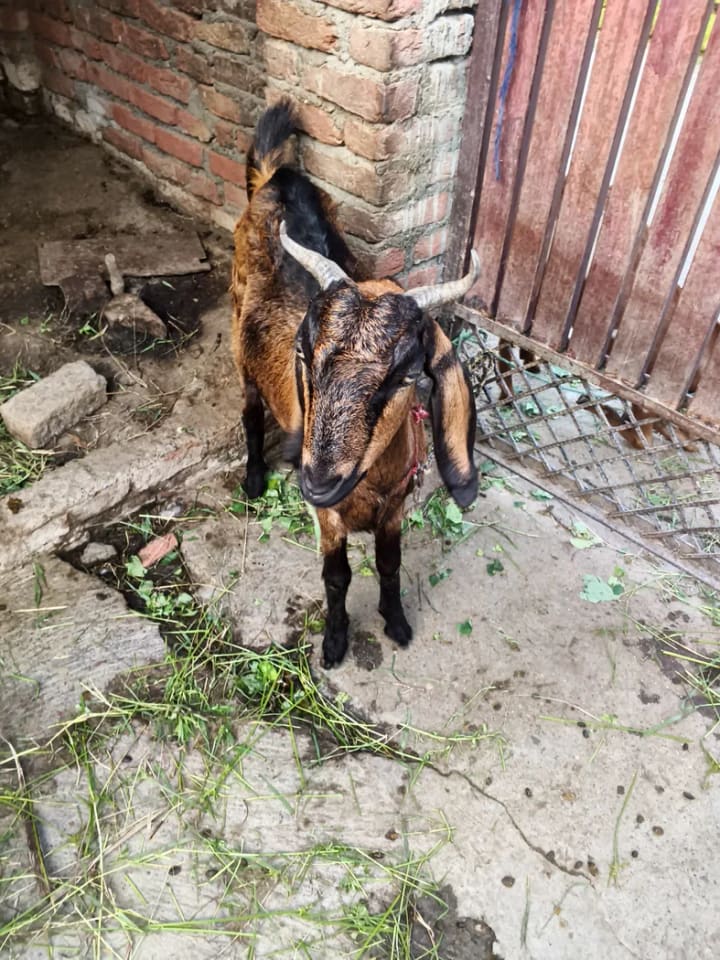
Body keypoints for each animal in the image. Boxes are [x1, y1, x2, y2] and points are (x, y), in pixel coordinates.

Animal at [231, 100, 480, 668]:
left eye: (405, 375)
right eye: (305, 355)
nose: (317, 482)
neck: (368, 489)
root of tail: (278, 177)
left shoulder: (395, 509)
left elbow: (389, 564)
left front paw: (397, 621)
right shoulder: (328, 519)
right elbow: (337, 576)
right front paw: (335, 640)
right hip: (238, 337)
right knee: (250, 409)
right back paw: (254, 478)